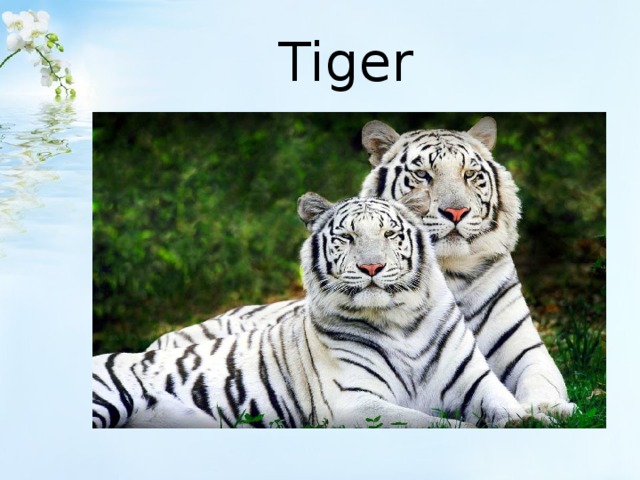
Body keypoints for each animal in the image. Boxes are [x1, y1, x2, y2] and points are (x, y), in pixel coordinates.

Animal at [94, 191, 539, 428]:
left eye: (389, 234)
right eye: (347, 237)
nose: (372, 267)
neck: (400, 322)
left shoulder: (477, 383)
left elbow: (510, 410)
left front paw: (535, 418)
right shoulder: (354, 404)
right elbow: (433, 422)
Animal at [147, 117, 576, 419]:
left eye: (470, 174)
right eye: (423, 175)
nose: (455, 212)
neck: (449, 273)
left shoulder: (526, 351)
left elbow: (542, 382)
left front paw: (550, 409)